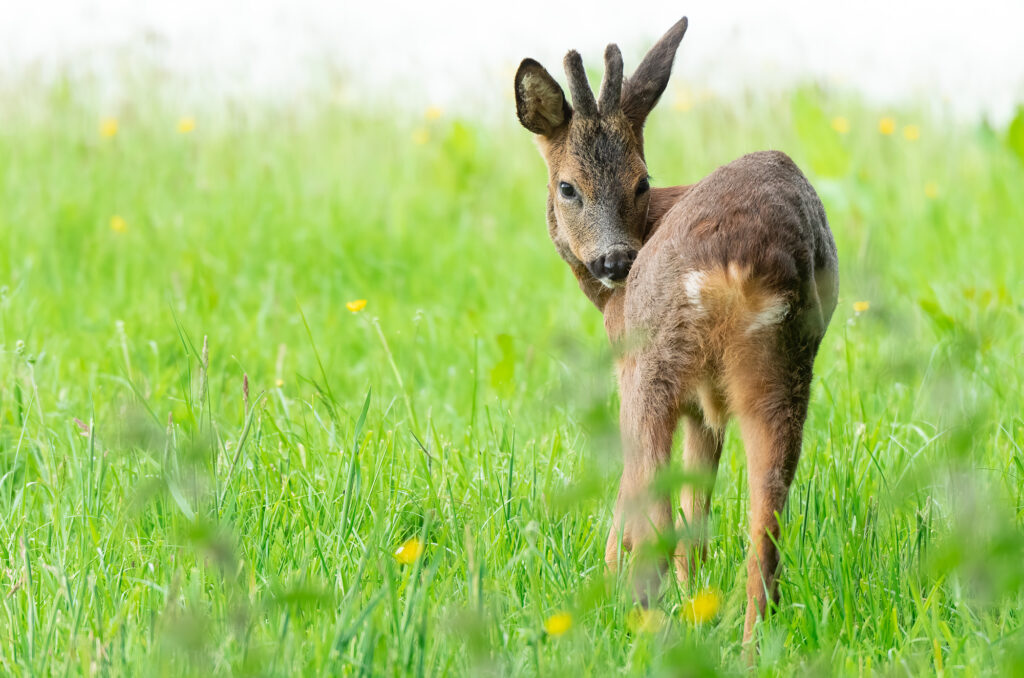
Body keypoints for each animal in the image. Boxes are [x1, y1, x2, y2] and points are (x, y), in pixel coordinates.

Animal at [516, 15, 835, 643]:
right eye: (569, 187)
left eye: (641, 182)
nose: (615, 261)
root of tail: (742, 263)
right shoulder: (704, 407)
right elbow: (699, 508)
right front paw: (695, 596)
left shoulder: (629, 368)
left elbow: (636, 495)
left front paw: (610, 577)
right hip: (782, 366)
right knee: (764, 531)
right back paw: (747, 644)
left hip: (656, 365)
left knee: (653, 520)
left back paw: (641, 624)